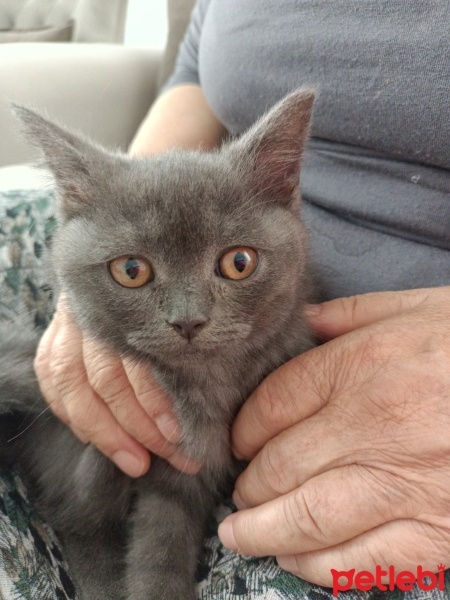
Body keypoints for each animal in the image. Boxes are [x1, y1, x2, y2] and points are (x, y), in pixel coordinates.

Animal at [0, 89, 314, 600]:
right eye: (132, 270)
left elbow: (156, 540)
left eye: (239, 263)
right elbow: (109, 532)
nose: (187, 320)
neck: (201, 392)